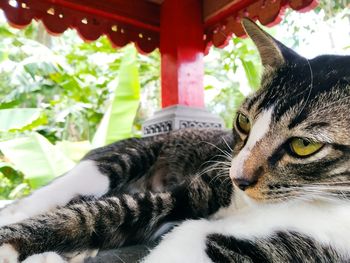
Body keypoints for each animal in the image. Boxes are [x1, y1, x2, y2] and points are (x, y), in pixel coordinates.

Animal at [0, 17, 350, 262]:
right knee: (70, 187)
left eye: (304, 146)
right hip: (126, 155)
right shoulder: (195, 190)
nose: (237, 179)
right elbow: (103, 213)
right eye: (244, 121)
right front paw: (10, 242)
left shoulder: (294, 247)